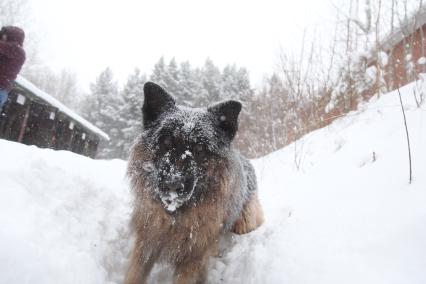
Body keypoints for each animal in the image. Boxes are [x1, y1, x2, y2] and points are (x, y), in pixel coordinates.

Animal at [124, 82, 262, 284]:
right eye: (166, 142)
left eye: (199, 149)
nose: (172, 185)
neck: (175, 219)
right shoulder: (145, 245)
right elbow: (134, 275)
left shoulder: (192, 258)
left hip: (244, 222)